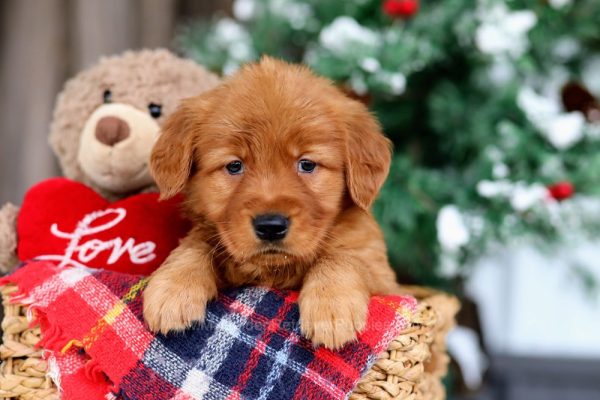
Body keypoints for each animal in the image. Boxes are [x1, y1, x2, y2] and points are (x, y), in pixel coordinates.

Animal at [143, 57, 400, 350]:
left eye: (307, 164)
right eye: (234, 165)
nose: (270, 226)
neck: (274, 270)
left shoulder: (383, 275)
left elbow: (343, 257)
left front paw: (331, 306)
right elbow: (195, 246)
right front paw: (172, 289)